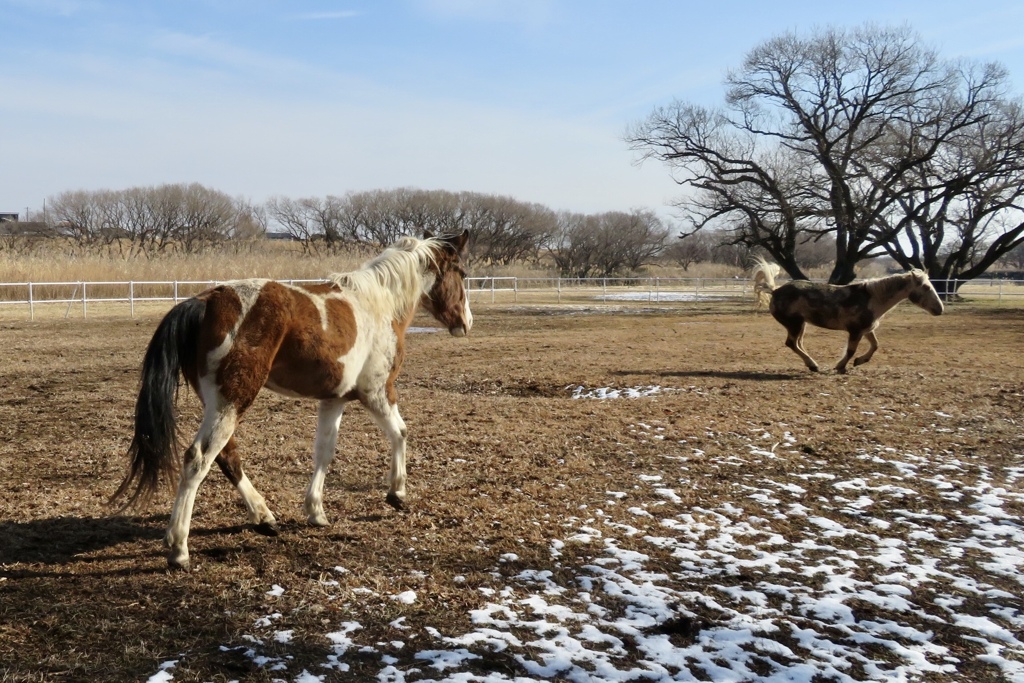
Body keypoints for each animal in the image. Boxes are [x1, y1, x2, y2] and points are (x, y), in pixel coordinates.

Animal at [114, 232, 473, 569]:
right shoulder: (377, 391)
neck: (379, 303)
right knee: (199, 458)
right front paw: (397, 493)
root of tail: (206, 301)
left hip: (220, 402)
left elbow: (324, 453)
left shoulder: (334, 399)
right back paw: (179, 548)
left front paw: (316, 511)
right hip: (233, 399)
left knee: (227, 456)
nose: (466, 322)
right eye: (463, 273)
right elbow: (400, 432)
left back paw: (264, 518)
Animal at [753, 255, 942, 374]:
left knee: (798, 344)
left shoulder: (867, 329)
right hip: (795, 324)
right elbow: (851, 350)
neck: (872, 298)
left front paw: (859, 361)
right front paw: (841, 366)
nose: (939, 309)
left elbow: (875, 345)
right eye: (926, 287)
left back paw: (812, 365)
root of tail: (775, 291)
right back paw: (813, 365)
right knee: (792, 344)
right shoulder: (855, 331)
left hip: (801, 325)